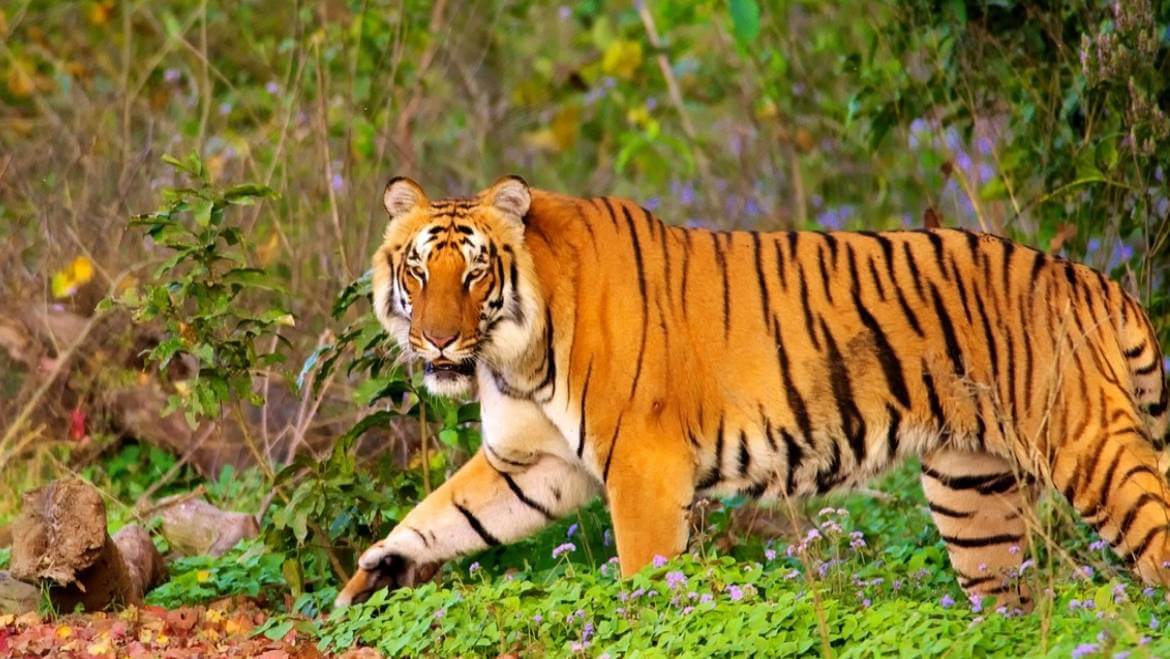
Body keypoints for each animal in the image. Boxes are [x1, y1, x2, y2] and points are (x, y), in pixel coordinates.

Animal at [334, 175, 1170, 612]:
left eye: (474, 273)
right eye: (418, 271)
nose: (438, 342)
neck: (517, 354)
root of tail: (1098, 282)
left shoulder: (641, 464)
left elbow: (646, 574)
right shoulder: (533, 463)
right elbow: (442, 514)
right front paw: (372, 575)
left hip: (1090, 449)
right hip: (975, 498)